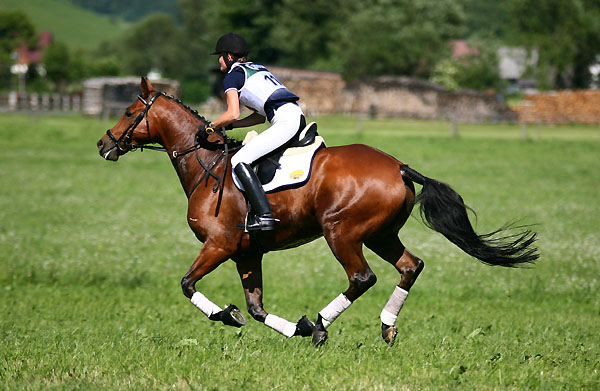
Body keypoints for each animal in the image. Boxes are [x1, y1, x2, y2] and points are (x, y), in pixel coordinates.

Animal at [96, 77, 536, 346]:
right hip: (381, 235)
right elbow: (257, 308)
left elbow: (188, 285)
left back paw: (322, 326)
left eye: (129, 111)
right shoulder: (247, 253)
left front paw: (228, 315)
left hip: (341, 232)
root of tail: (398, 165)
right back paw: (385, 327)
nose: (103, 144)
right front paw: (290, 326)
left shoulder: (219, 244)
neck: (207, 164)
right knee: (410, 266)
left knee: (362, 277)